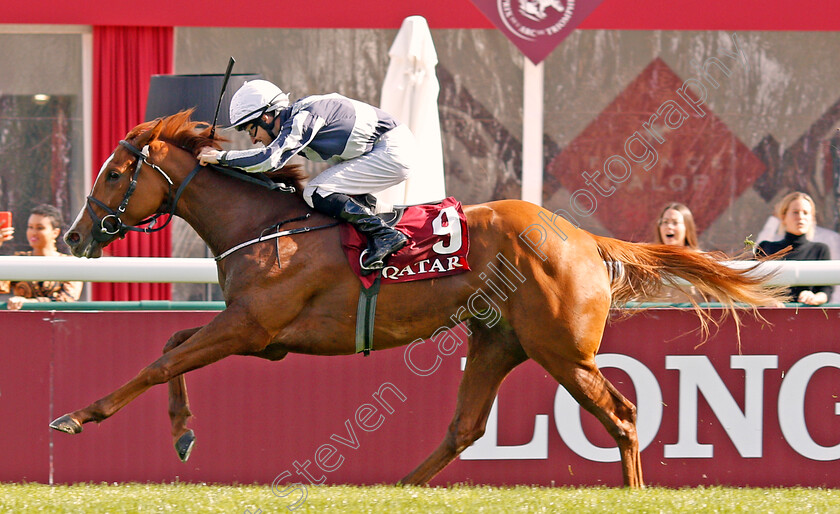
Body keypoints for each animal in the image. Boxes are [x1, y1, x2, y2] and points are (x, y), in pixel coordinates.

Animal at [50, 111, 780, 484]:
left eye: (113, 172)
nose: (74, 235)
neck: (262, 223)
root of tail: (581, 237)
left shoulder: (250, 327)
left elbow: (160, 361)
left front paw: (80, 416)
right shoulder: (264, 338)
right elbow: (171, 344)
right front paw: (182, 433)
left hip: (562, 350)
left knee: (623, 417)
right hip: (498, 340)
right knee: (465, 426)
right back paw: (395, 488)